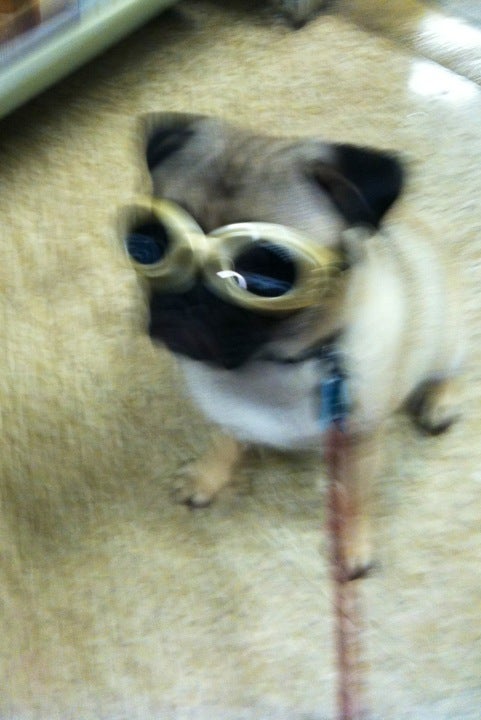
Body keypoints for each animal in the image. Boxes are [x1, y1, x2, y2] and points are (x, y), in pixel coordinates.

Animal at [129, 112, 462, 576]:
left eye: (267, 275)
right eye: (149, 243)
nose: (190, 298)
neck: (272, 366)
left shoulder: (358, 442)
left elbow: (355, 497)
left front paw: (351, 545)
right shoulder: (226, 415)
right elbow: (222, 442)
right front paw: (206, 477)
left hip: (445, 334)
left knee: (452, 368)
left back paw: (440, 401)